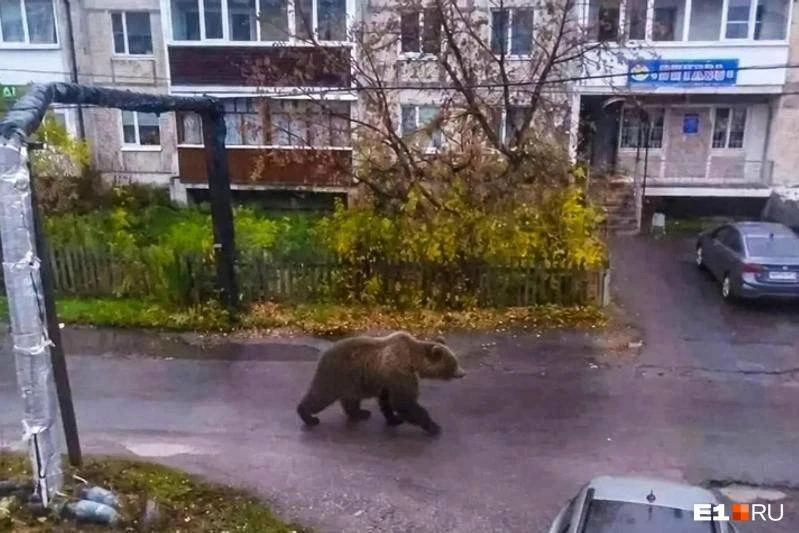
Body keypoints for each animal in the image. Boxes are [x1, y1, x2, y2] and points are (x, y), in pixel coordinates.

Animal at [296, 331, 466, 436]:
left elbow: (387, 400)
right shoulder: (400, 371)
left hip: (354, 380)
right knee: (320, 396)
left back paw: (360, 413)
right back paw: (308, 416)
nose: (463, 373)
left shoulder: (387, 378)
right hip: (336, 373)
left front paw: (393, 419)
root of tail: (325, 353)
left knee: (351, 399)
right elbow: (404, 402)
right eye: (454, 362)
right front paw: (434, 426)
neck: (413, 360)